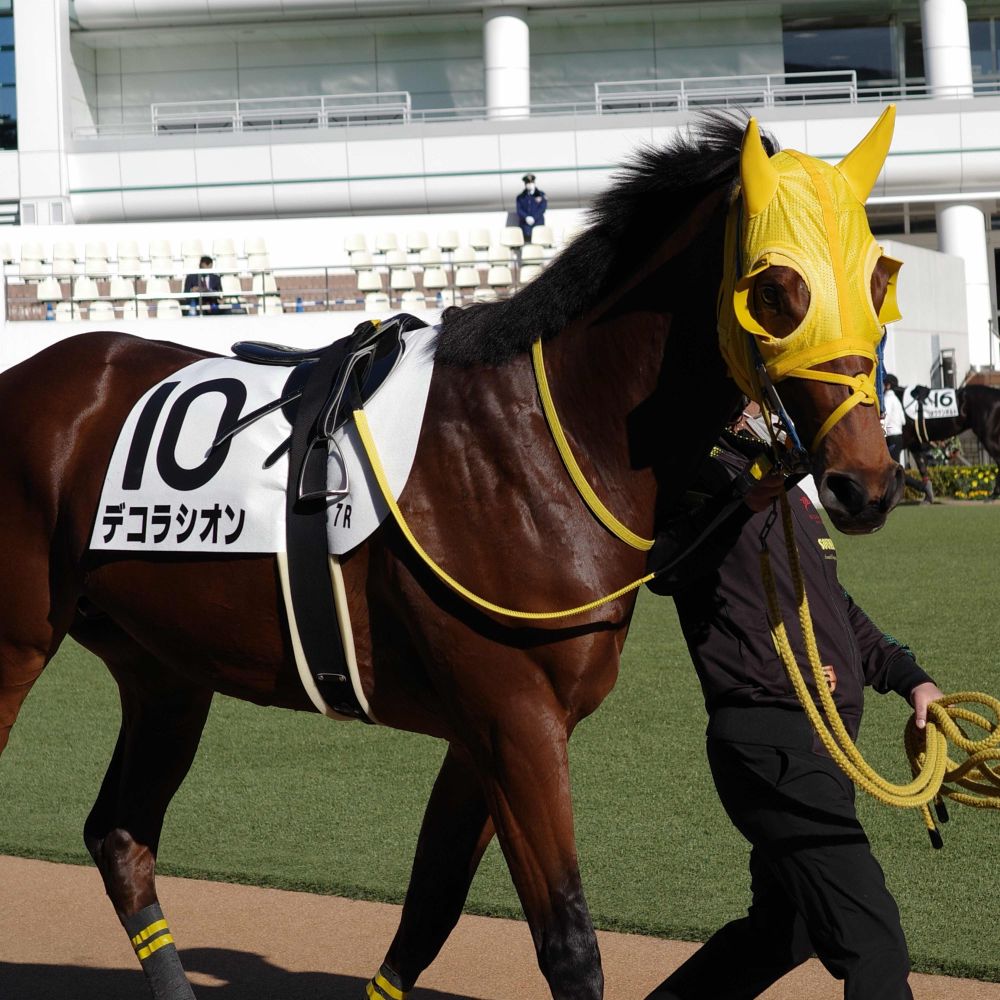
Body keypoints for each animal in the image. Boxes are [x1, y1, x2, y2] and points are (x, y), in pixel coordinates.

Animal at [0, 110, 905, 1000]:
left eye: (876, 283)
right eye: (775, 291)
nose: (865, 482)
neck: (549, 437)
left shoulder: (483, 737)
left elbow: (428, 913)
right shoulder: (518, 724)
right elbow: (570, 946)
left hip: (166, 672)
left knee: (120, 837)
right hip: (22, 647)